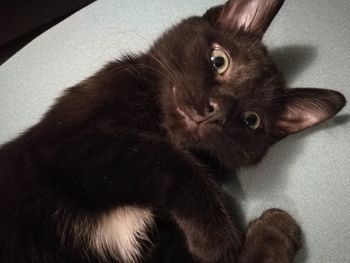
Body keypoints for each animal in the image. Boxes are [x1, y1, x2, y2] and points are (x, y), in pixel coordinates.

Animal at [0, 0, 346, 263]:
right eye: (219, 60)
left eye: (251, 120)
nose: (214, 112)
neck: (157, 124)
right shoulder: (65, 144)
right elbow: (161, 157)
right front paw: (218, 235)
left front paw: (275, 231)